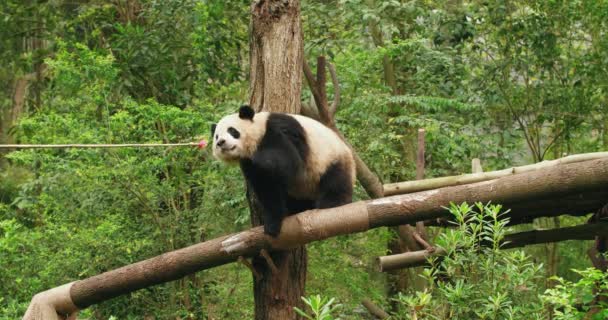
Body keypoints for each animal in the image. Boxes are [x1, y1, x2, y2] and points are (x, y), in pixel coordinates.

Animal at [213, 106, 356, 236]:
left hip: (332, 158)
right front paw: (272, 223)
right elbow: (267, 187)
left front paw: (262, 158)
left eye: (232, 130)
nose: (221, 142)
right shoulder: (247, 163)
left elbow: (289, 160)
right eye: (216, 136)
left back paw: (331, 202)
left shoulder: (280, 129)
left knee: (336, 178)